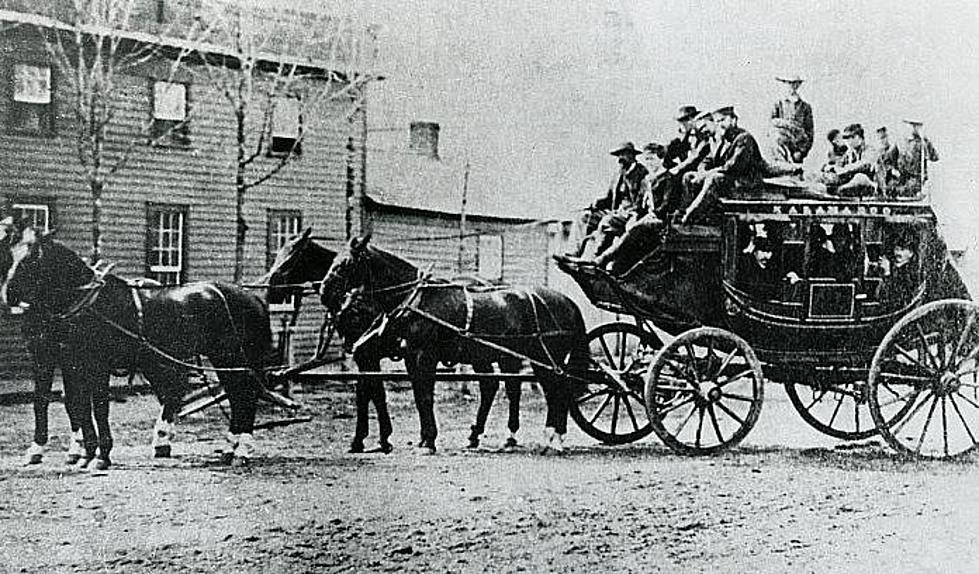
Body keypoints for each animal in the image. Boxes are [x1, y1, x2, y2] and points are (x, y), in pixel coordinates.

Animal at [0, 227, 276, 470]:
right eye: (11, 253)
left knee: (244, 394)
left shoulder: (95, 365)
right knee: (228, 395)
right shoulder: (66, 362)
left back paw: (241, 451)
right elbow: (70, 404)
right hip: (215, 360)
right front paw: (80, 453)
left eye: (33, 257)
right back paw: (227, 447)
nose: (8, 294)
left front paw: (100, 455)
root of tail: (251, 297)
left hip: (230, 357)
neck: (88, 302)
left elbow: (98, 406)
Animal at [264, 230, 528, 454]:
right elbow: (371, 393)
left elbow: (377, 393)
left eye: (290, 258)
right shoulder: (366, 354)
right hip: (478, 354)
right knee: (489, 386)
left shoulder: (371, 353)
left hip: (503, 355)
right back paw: (475, 435)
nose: (269, 291)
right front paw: (368, 439)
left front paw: (381, 439)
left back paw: (508, 435)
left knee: (511, 386)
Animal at [320, 236, 588, 456]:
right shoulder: (407, 357)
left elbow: (423, 396)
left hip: (545, 359)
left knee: (557, 391)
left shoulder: (421, 355)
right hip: (518, 358)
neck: (419, 300)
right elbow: (415, 396)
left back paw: (554, 439)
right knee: (535, 391)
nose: (323, 291)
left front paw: (427, 441)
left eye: (346, 263)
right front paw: (418, 439)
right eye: (333, 260)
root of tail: (568, 302)